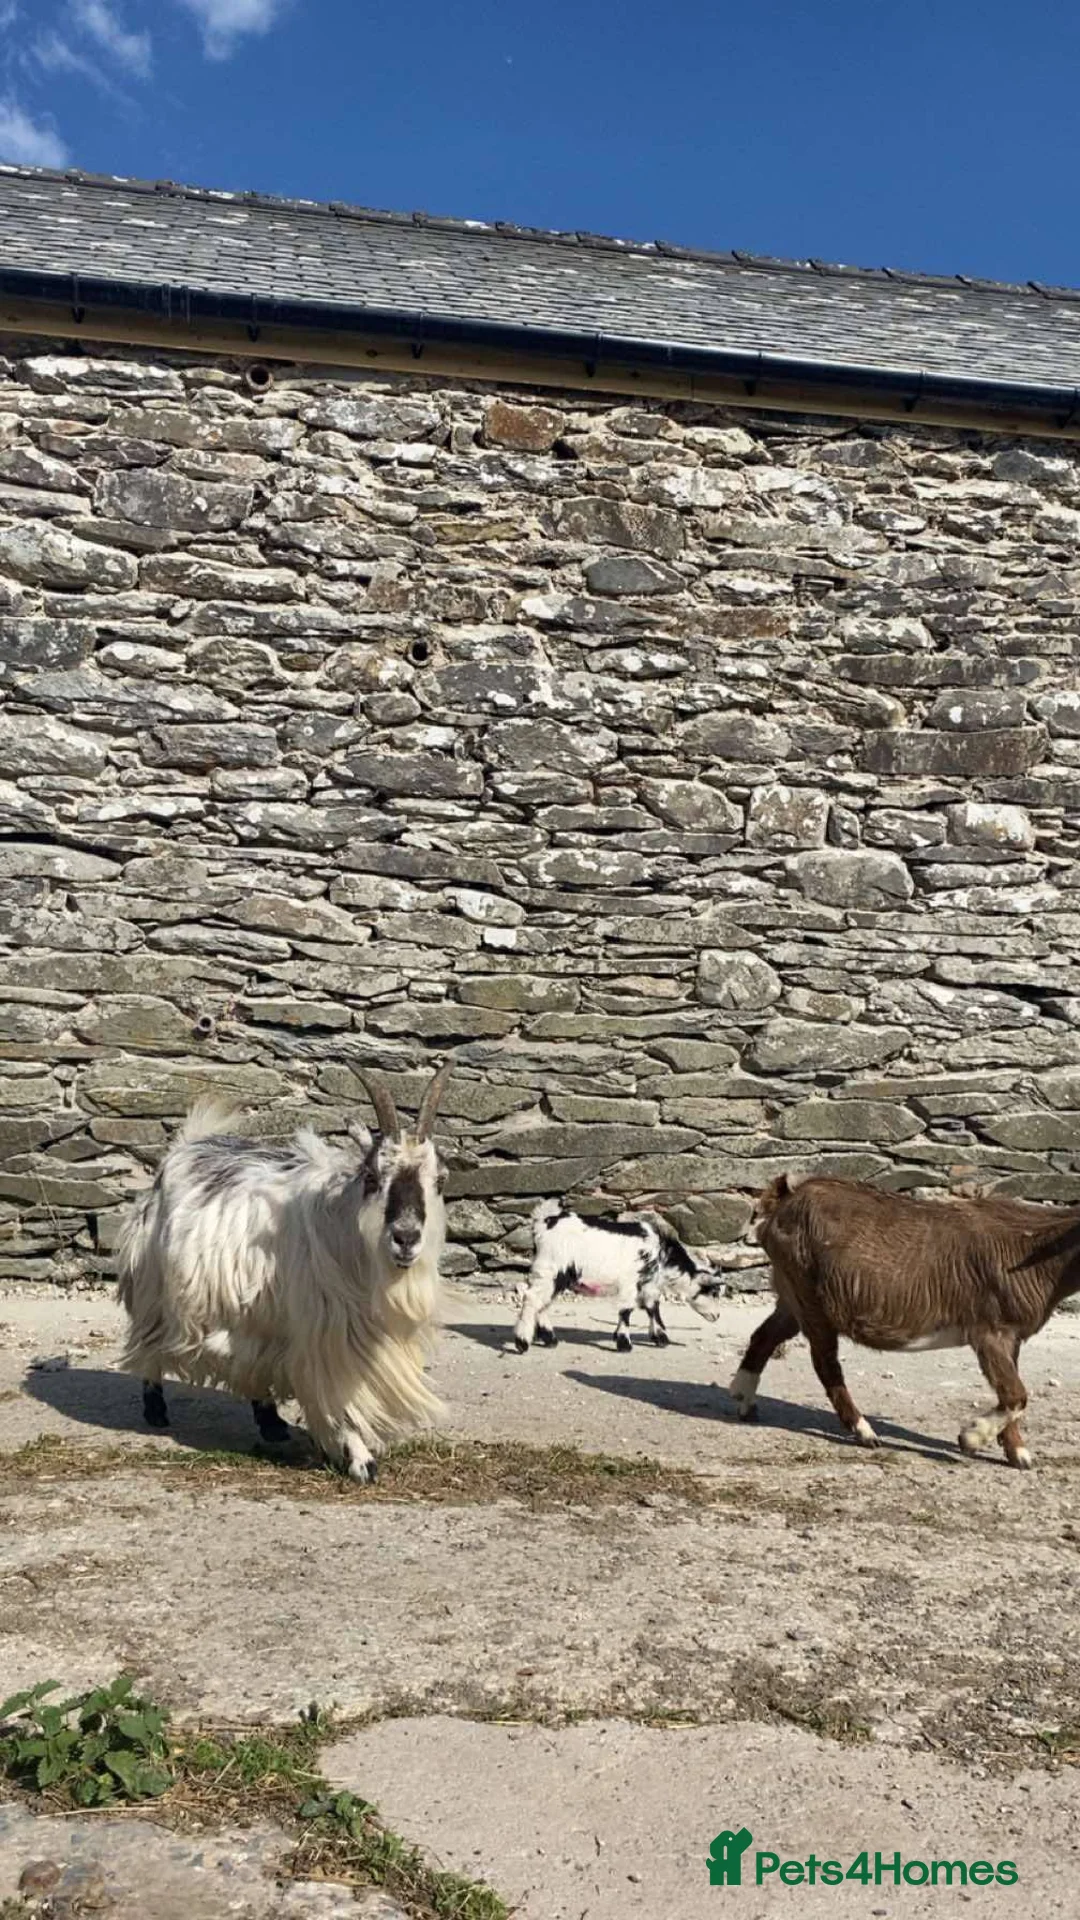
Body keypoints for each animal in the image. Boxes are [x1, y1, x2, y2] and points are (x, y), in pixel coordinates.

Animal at [115, 1062, 452, 1482]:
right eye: (373, 1177)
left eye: (440, 1180)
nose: (406, 1238)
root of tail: (183, 1148)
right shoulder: (324, 1337)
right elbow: (337, 1397)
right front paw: (360, 1460)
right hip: (153, 1290)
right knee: (151, 1344)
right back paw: (155, 1409)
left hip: (252, 1314)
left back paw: (271, 1422)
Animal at [513, 1201, 726, 1353]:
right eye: (713, 1292)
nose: (717, 1316)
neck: (661, 1254)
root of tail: (543, 1224)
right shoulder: (631, 1281)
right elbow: (626, 1310)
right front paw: (625, 1344)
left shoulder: (648, 1284)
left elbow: (652, 1308)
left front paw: (660, 1338)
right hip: (551, 1269)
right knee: (532, 1298)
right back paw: (522, 1342)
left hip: (553, 1274)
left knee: (542, 1303)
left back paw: (549, 1340)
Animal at [731, 1171, 1080, 1469]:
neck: (1028, 1249)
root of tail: (785, 1199)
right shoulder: (990, 1330)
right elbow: (1016, 1395)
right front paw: (971, 1437)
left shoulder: (1012, 1336)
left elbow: (1010, 1391)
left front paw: (1017, 1452)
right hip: (809, 1296)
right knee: (825, 1363)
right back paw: (864, 1431)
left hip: (792, 1294)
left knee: (765, 1336)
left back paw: (743, 1399)